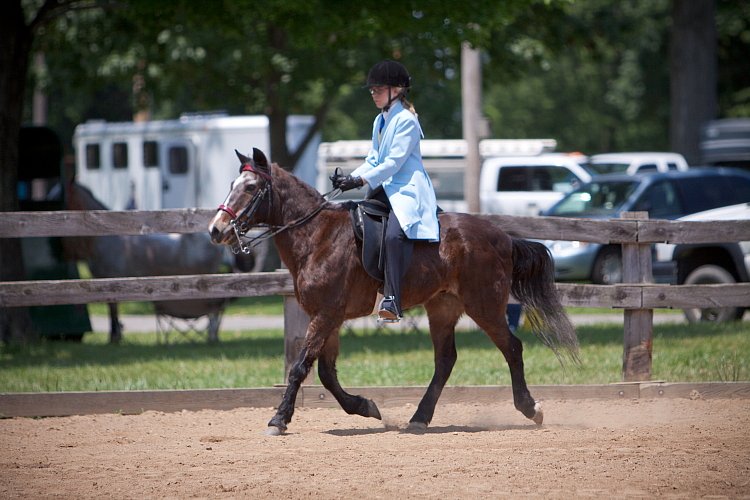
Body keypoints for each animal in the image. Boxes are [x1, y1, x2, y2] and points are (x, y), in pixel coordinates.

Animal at [61, 180, 228, 344]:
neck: (106, 239)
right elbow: (112, 309)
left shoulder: (111, 280)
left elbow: (113, 309)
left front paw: (115, 337)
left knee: (213, 308)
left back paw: (212, 335)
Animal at [209, 148, 580, 434]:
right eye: (231, 185)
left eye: (251, 187)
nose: (216, 229)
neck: (317, 236)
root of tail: (503, 237)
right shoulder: (328, 317)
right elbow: (326, 374)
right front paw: (365, 406)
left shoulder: (326, 314)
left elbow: (300, 367)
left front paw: (279, 419)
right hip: (443, 307)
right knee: (445, 360)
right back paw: (419, 418)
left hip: (484, 305)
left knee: (512, 348)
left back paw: (530, 408)